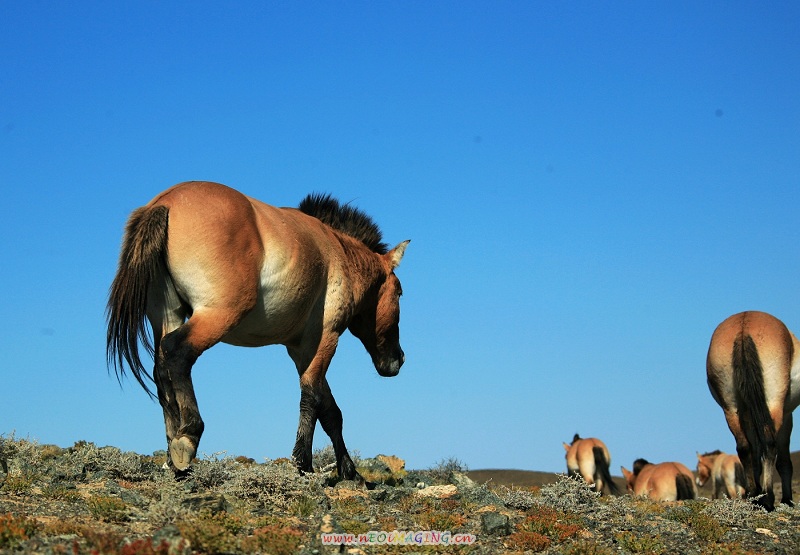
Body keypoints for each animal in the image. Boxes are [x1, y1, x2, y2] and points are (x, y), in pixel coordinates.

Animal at [106, 181, 409, 480]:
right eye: (400, 292)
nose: (398, 359)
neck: (337, 251)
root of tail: (165, 203)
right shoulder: (327, 337)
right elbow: (312, 397)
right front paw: (303, 463)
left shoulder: (301, 350)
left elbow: (330, 410)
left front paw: (349, 471)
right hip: (216, 316)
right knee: (177, 352)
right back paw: (188, 438)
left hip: (169, 314)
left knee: (161, 369)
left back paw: (174, 453)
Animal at [706, 310, 800, 511]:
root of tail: (744, 327)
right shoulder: (787, 416)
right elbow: (784, 461)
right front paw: (787, 499)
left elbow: (755, 455)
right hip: (773, 404)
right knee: (769, 444)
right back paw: (768, 498)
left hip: (731, 409)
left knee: (744, 448)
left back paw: (754, 496)